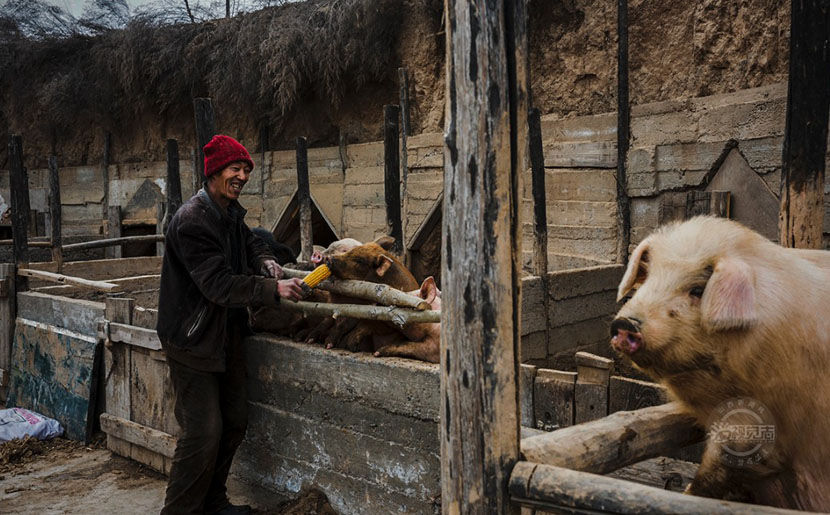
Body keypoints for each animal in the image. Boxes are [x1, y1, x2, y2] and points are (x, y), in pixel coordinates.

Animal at [612, 216, 830, 510]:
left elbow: (724, 462)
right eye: (647, 280)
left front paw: (686, 495)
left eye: (697, 290)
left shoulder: (757, 426)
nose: (625, 323)